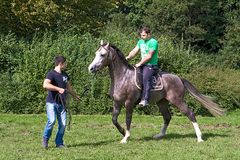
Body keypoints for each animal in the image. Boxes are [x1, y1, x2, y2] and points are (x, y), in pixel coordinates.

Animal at [88, 42, 225, 143]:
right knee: (167, 117)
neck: (123, 77)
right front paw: (122, 132)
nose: (91, 68)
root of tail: (178, 78)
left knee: (190, 114)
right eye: (96, 53)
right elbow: (114, 120)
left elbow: (128, 120)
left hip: (177, 100)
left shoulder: (129, 103)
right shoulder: (116, 103)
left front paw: (126, 137)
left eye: (102, 54)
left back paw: (200, 138)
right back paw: (160, 135)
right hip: (162, 102)